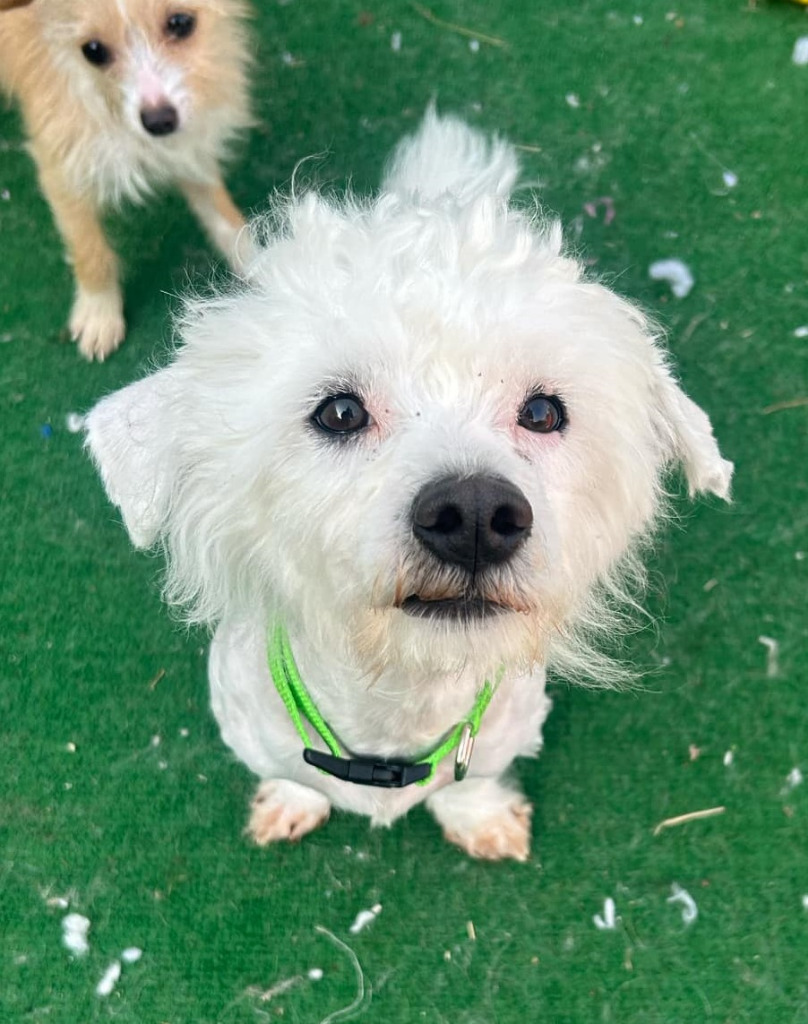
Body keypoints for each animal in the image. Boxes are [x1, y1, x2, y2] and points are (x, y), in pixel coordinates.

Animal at [0, 0, 251, 360]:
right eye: (93, 51)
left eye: (180, 23)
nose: (159, 121)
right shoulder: (63, 165)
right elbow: (89, 250)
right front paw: (99, 312)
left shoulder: (189, 143)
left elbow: (222, 215)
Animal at [86, 112, 733, 860]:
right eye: (339, 412)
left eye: (544, 413)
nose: (476, 514)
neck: (395, 705)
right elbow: (294, 777)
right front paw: (293, 800)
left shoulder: (503, 733)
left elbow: (471, 783)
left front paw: (478, 817)